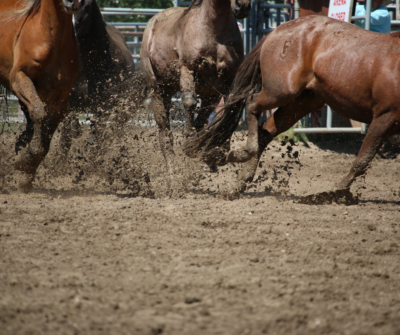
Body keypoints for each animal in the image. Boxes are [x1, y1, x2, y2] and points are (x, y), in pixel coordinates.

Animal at [0, 0, 84, 193]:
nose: (75, 2)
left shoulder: (60, 99)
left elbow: (45, 136)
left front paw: (26, 172)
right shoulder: (19, 77)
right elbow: (39, 113)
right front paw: (25, 162)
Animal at [139, 0, 248, 190]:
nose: (242, 6)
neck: (214, 30)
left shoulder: (229, 79)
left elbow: (230, 111)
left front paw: (217, 152)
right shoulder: (187, 69)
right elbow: (189, 102)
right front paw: (189, 139)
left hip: (209, 95)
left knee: (201, 121)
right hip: (159, 91)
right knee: (165, 135)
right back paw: (174, 176)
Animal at [186, 16, 400, 197]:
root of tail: (277, 31)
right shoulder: (385, 115)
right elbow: (363, 159)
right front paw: (336, 192)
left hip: (304, 101)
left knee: (266, 130)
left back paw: (241, 180)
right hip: (282, 91)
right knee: (252, 104)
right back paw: (243, 153)